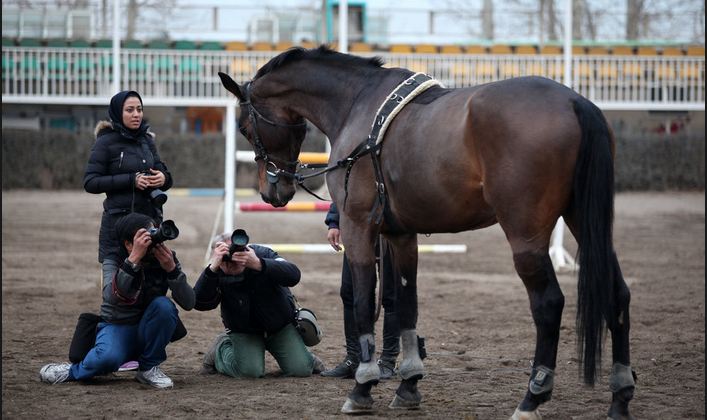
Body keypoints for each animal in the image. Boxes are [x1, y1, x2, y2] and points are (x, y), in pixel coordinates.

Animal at [220, 46, 636, 420]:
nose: (273, 191)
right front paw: (408, 384)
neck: (357, 105)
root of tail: (574, 103)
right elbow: (406, 305)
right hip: (587, 226)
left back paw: (532, 398)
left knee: (548, 304)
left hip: (527, 237)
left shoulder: (358, 227)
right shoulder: (401, 236)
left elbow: (364, 303)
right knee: (617, 294)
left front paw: (363, 387)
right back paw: (620, 396)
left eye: (244, 127)